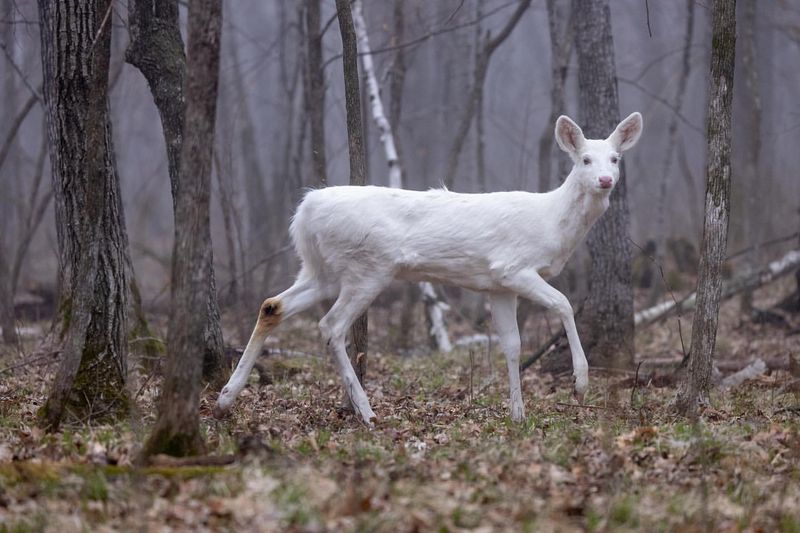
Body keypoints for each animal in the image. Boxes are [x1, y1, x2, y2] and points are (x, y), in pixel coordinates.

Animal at [212, 111, 644, 424]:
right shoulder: (511, 267)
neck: (551, 221)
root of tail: (304, 212)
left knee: (273, 305)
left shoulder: (497, 286)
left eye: (616, 158)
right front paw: (580, 384)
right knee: (330, 327)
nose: (605, 179)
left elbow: (512, 344)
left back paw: (225, 398)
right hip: (368, 267)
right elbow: (564, 304)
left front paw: (518, 415)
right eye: (584, 159)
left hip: (322, 270)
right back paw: (366, 412)